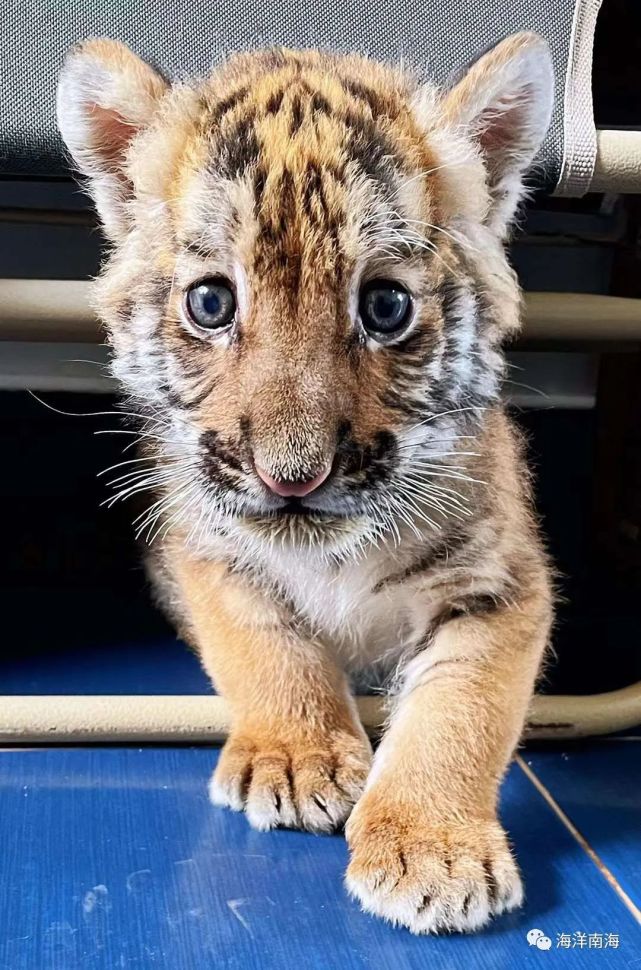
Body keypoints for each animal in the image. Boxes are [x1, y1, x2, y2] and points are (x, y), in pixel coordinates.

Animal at [57, 31, 554, 934]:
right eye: (211, 303)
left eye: (385, 307)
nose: (290, 477)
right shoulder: (205, 547)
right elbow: (264, 647)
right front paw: (297, 759)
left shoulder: (500, 584)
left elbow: (458, 712)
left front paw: (433, 849)